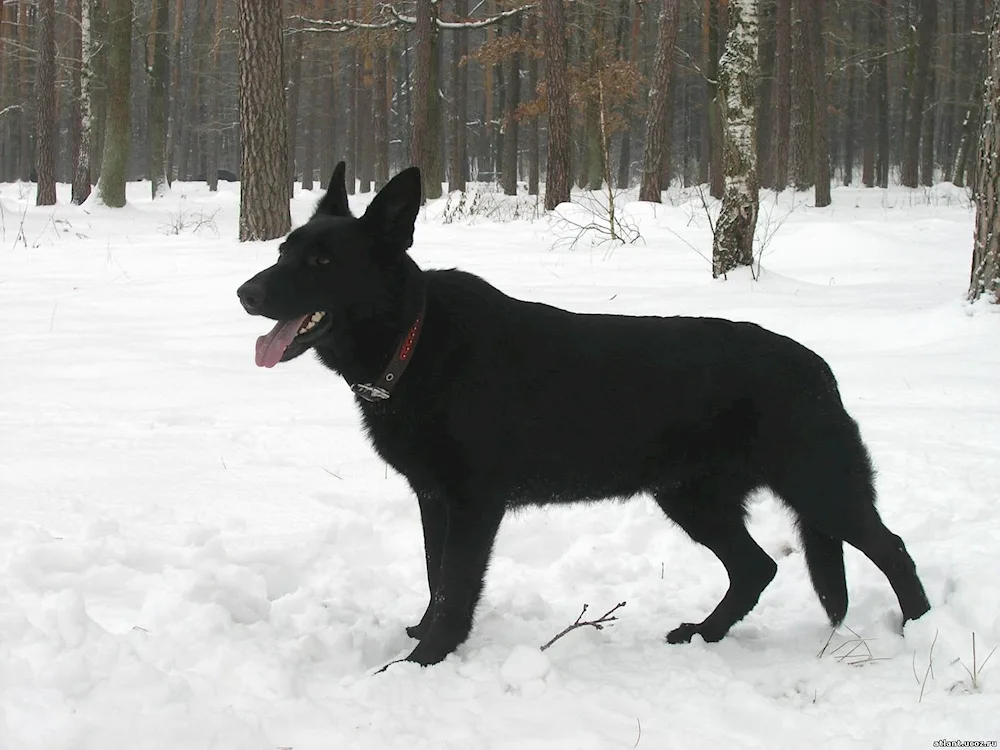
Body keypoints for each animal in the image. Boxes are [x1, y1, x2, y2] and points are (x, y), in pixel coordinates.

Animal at [238, 164, 932, 668]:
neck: (414, 341)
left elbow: (456, 587)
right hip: (691, 498)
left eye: (323, 263)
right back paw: (704, 635)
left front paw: (424, 661)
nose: (244, 292)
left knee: (891, 548)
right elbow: (436, 581)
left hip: (818, 488)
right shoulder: (433, 499)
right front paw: (422, 637)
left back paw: (920, 634)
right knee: (756, 568)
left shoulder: (472, 505)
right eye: (284, 250)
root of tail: (819, 368)